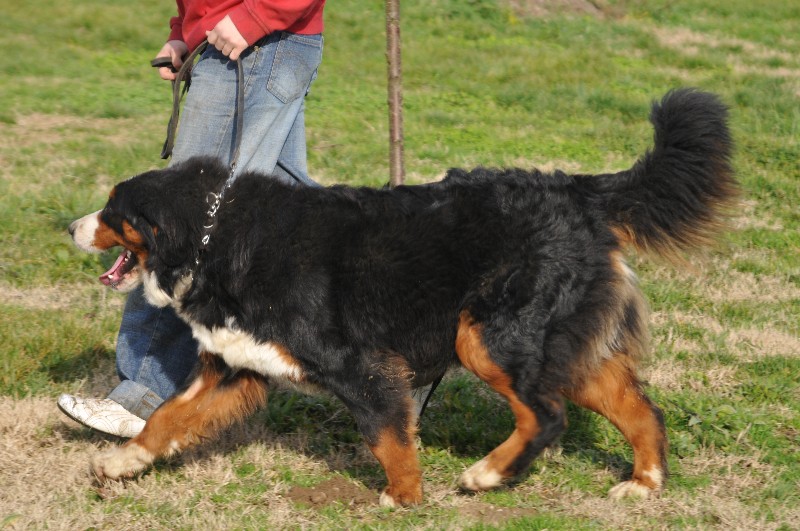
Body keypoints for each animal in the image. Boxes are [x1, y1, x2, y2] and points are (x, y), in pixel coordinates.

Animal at [72, 88, 736, 508]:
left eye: (112, 210)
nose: (72, 227)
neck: (219, 238)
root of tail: (577, 191)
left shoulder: (360, 365)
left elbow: (387, 437)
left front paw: (403, 497)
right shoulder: (234, 366)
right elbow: (166, 416)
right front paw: (123, 462)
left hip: (488, 338)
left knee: (546, 416)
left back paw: (487, 475)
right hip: (564, 349)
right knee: (640, 410)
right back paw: (644, 483)